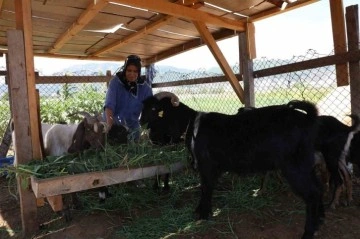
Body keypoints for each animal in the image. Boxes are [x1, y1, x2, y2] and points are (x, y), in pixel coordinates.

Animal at [141, 93, 324, 239]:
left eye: (154, 109)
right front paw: (201, 211)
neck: (191, 125)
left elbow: (206, 188)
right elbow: (206, 188)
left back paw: (308, 232)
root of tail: (307, 118)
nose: (141, 123)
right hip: (306, 164)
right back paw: (320, 221)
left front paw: (203, 214)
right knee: (318, 188)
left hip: (294, 167)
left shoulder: (206, 166)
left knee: (312, 194)